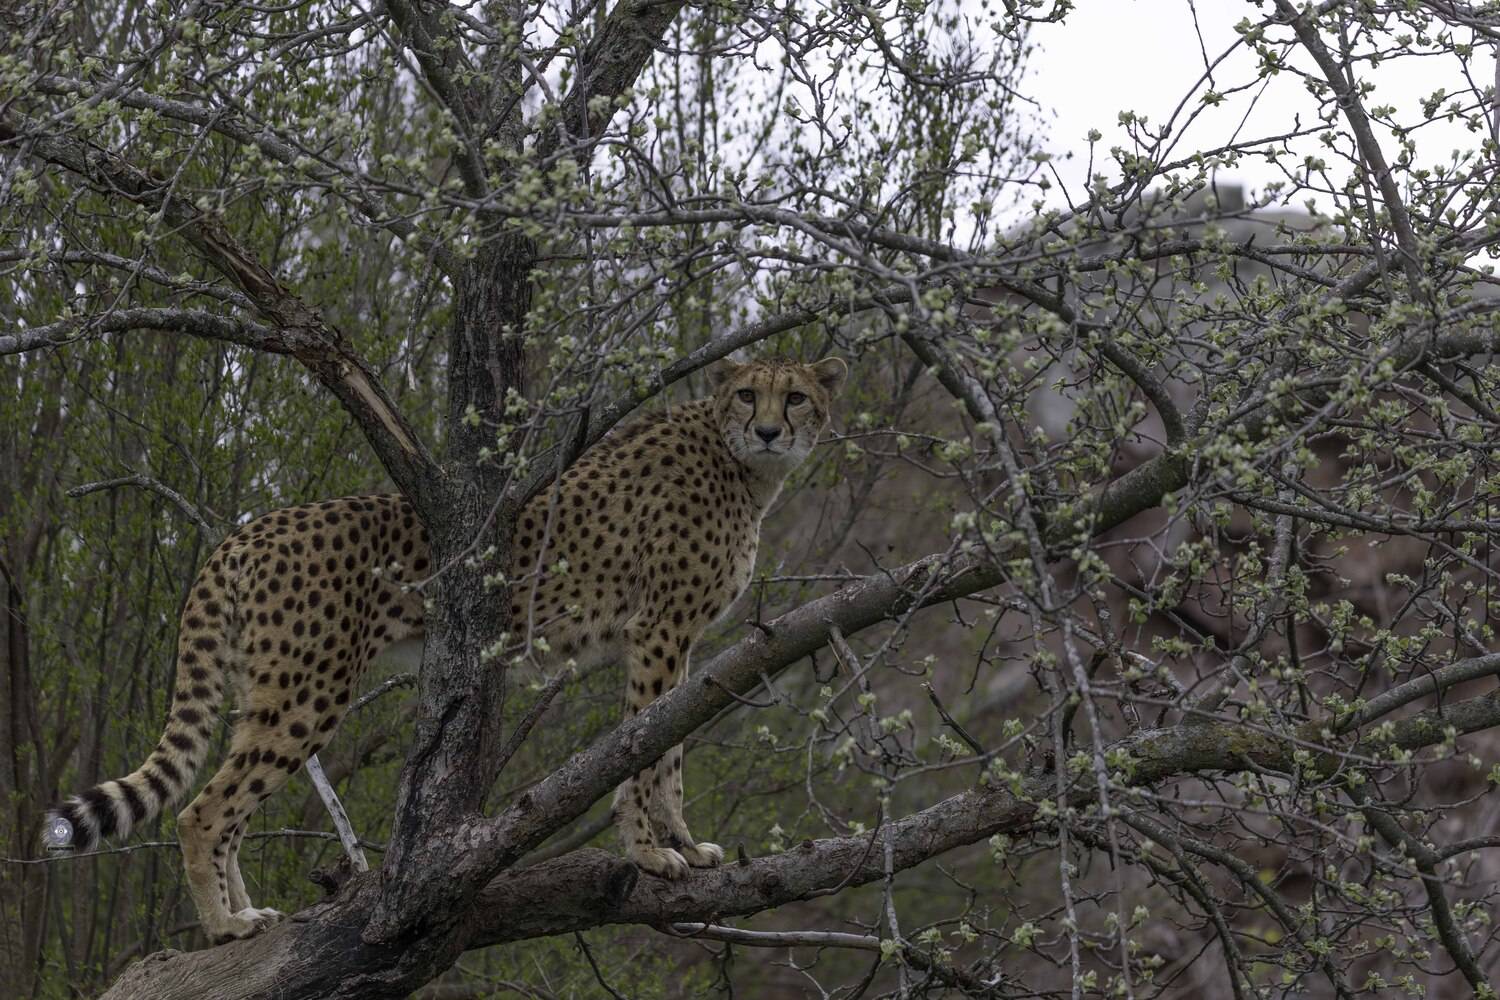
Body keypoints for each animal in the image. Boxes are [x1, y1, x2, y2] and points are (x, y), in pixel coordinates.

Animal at [44, 356, 848, 944]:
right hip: (308, 692)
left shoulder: (673, 642)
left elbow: (669, 754)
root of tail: (250, 528)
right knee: (203, 811)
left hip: (265, 688)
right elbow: (646, 756)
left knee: (230, 810)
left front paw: (685, 843)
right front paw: (651, 855)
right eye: (747, 395)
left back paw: (245, 914)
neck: (741, 465)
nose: (770, 430)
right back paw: (222, 928)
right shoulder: (659, 633)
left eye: (796, 398)